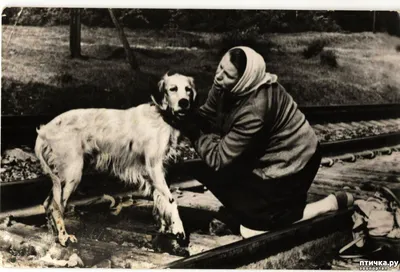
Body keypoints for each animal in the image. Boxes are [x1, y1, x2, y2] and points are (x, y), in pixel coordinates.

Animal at [35, 72, 196, 246]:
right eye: (173, 88)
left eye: (188, 89)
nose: (184, 102)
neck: (162, 116)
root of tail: (45, 130)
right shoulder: (154, 169)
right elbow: (171, 201)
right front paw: (179, 230)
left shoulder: (160, 172)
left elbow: (161, 201)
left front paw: (165, 227)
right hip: (72, 175)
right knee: (56, 206)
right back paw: (64, 236)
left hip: (61, 177)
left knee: (49, 203)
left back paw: (55, 234)